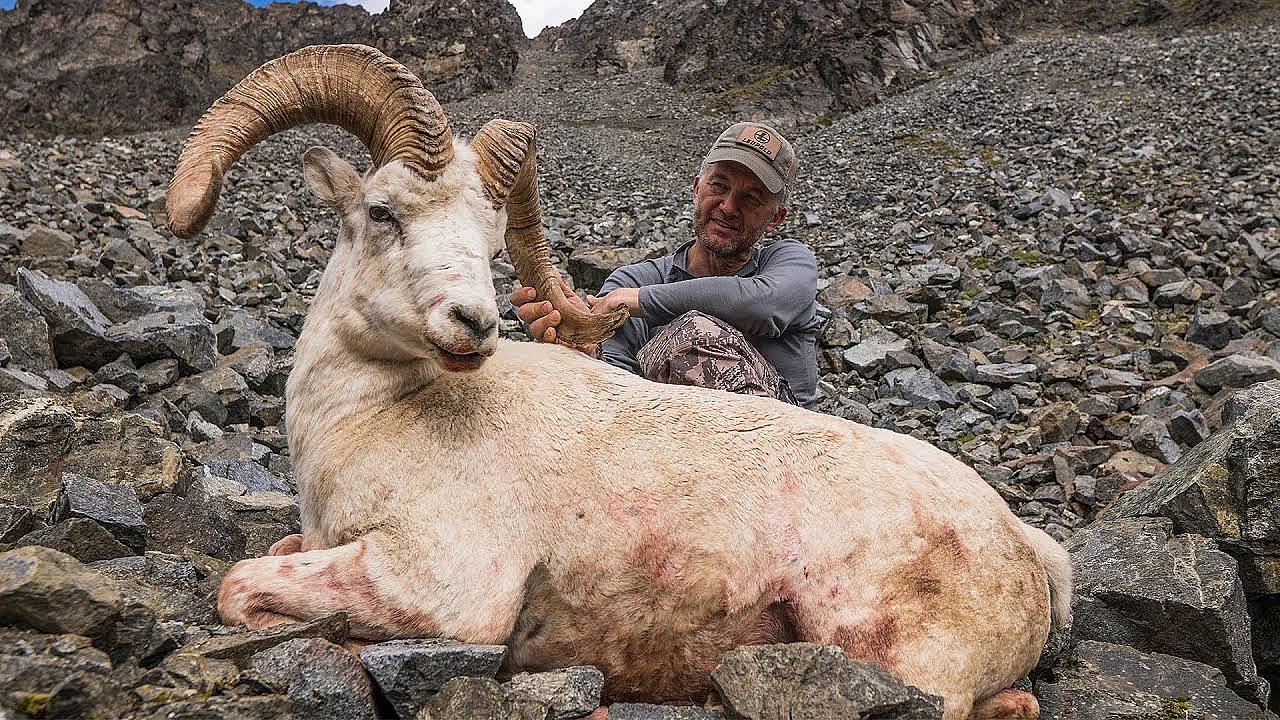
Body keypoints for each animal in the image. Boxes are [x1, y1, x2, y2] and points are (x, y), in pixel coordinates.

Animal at [166, 44, 1072, 720]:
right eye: (383, 212)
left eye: (490, 240)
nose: (474, 323)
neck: (367, 421)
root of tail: (1028, 549)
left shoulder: (436, 588)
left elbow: (239, 585)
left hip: (889, 655)